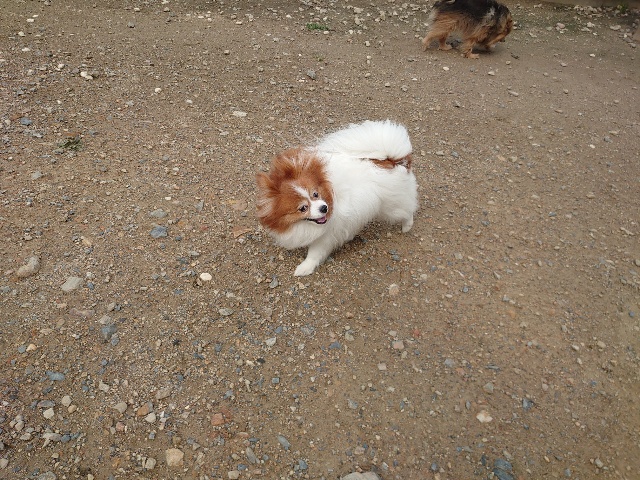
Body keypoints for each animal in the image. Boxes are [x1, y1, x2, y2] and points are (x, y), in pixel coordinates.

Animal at [256, 120, 418, 276]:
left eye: (315, 194)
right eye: (303, 208)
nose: (324, 208)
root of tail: (393, 161)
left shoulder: (326, 236)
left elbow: (314, 254)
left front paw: (305, 268)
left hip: (392, 207)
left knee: (408, 210)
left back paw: (407, 226)